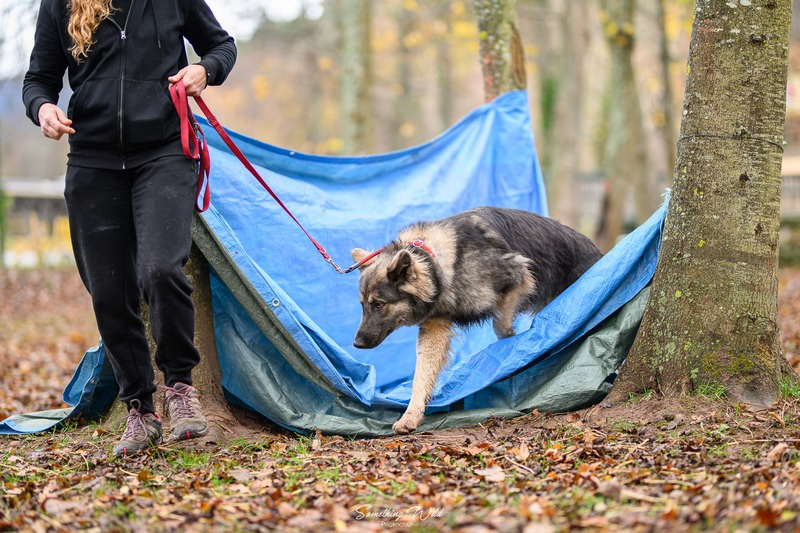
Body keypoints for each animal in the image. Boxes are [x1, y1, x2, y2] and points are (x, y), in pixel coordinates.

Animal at [350, 206, 603, 434]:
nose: (357, 344)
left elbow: (501, 327)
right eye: (362, 305)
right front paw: (411, 416)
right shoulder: (435, 326)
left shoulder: (520, 275)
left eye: (378, 304)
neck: (436, 261)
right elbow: (421, 376)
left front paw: (514, 353)